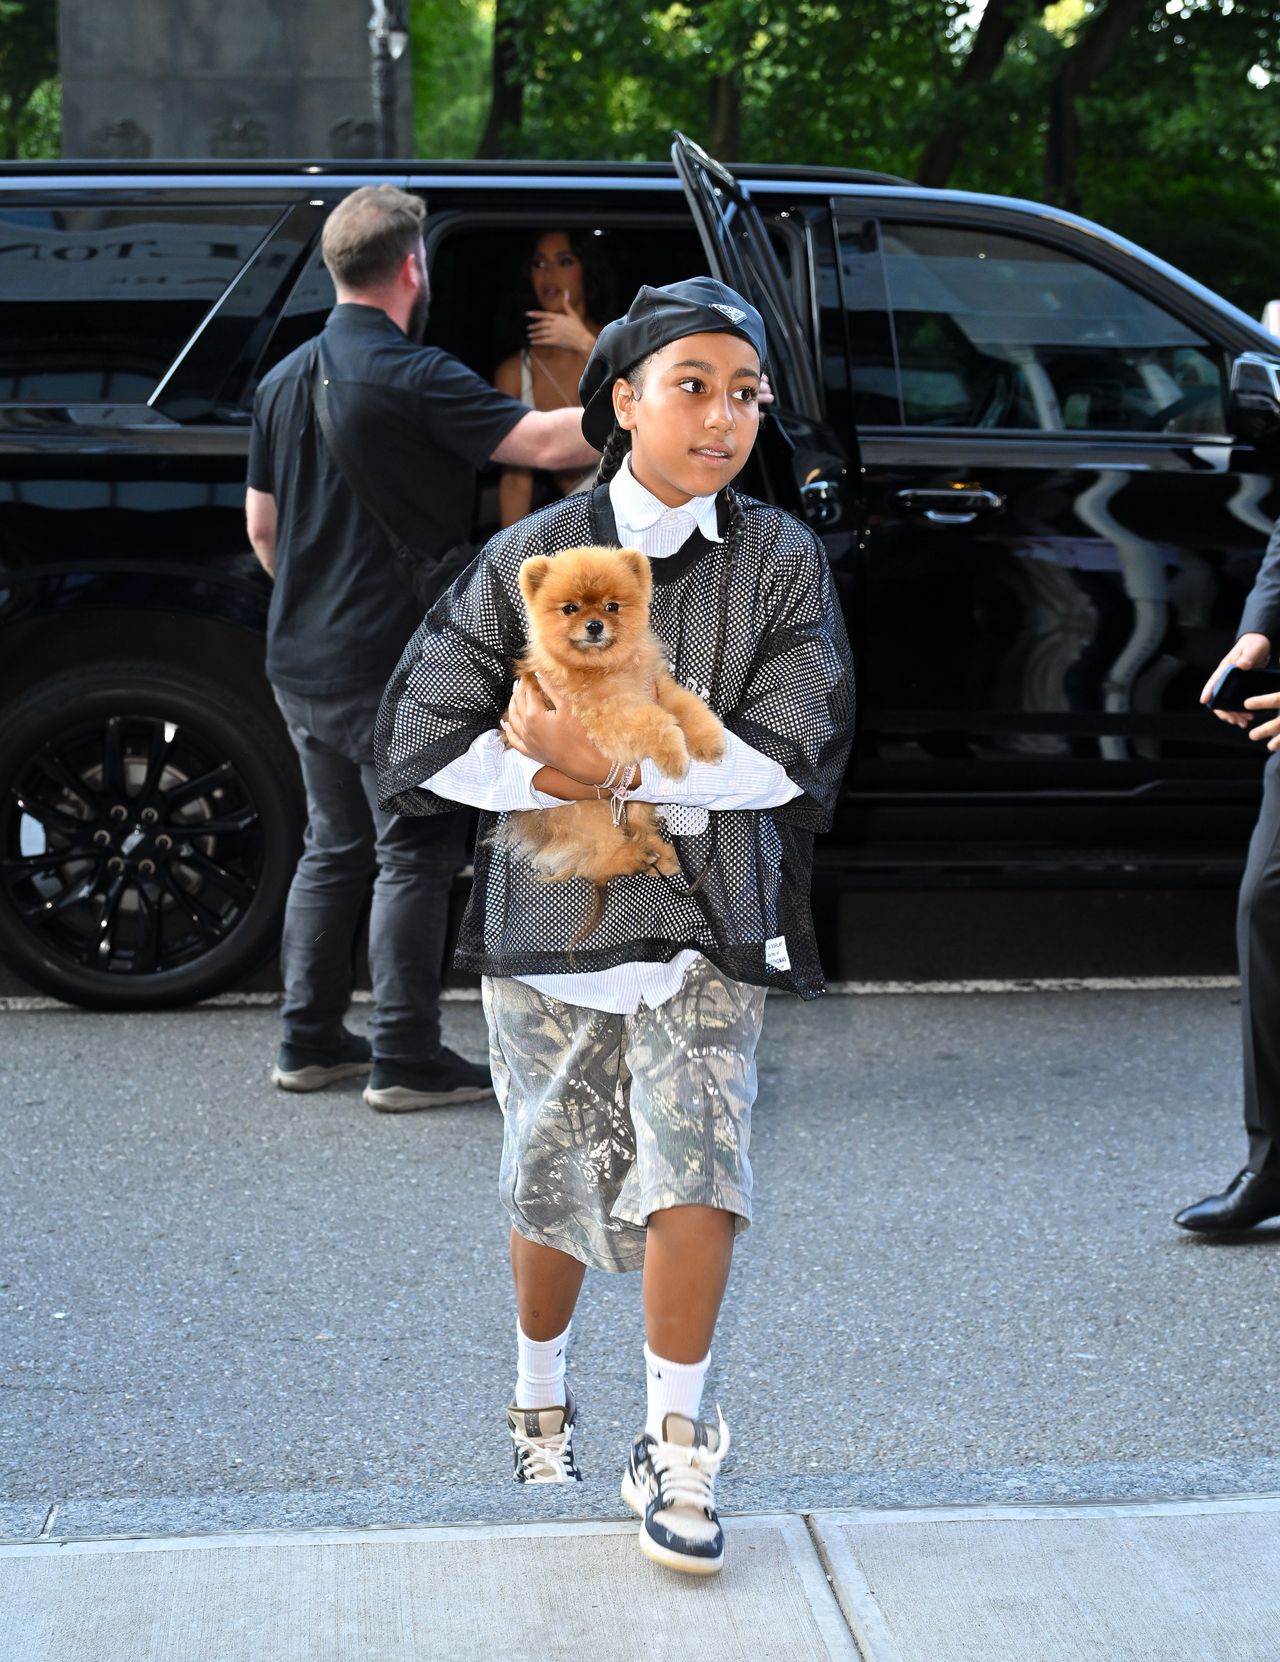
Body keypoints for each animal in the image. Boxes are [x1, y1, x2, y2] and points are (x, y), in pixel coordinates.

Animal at [492, 545, 724, 897]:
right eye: (570, 608)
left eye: (612, 606)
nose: (594, 625)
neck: (605, 669)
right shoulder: (607, 717)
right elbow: (656, 721)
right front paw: (674, 756)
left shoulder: (658, 688)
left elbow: (689, 708)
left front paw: (709, 742)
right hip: (591, 816)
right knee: (597, 860)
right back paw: (638, 856)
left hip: (634, 805)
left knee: (638, 829)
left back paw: (660, 854)